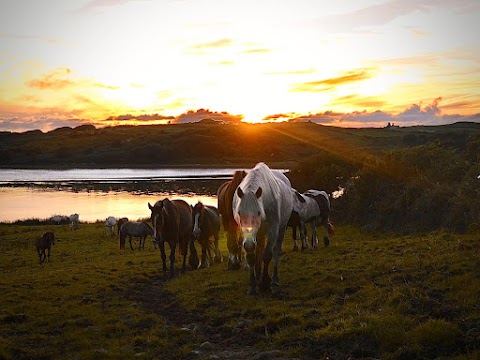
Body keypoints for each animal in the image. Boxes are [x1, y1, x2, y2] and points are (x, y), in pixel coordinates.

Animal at [232, 163, 294, 296]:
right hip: (260, 233)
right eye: (239, 213)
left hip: (281, 229)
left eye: (259, 212)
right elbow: (251, 257)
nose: (249, 244)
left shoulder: (273, 230)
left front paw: (265, 283)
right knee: (259, 250)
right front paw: (253, 285)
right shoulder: (246, 235)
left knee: (276, 252)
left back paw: (274, 280)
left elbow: (267, 255)